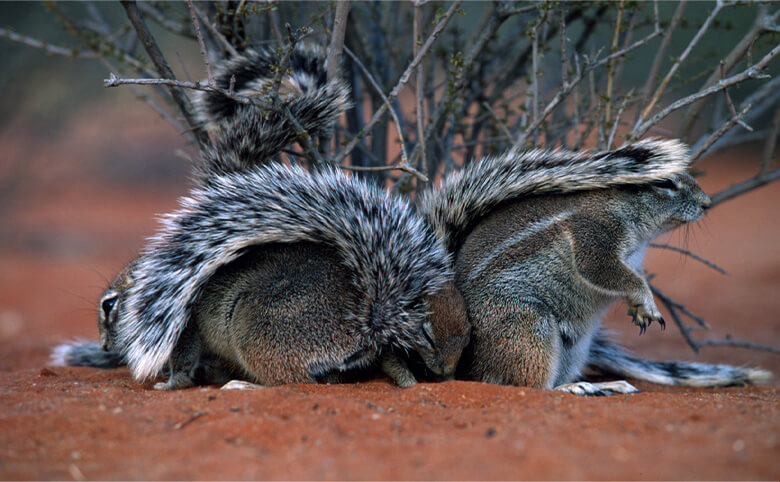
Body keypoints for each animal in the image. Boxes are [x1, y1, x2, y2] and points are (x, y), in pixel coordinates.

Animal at [54, 44, 472, 392]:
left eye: (109, 306)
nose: (105, 347)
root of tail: (369, 321)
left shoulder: (185, 331)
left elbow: (184, 366)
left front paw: (170, 384)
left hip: (256, 328)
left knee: (293, 381)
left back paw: (246, 385)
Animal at [418, 137, 772, 394]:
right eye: (666, 183)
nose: (706, 204)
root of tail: (466, 363)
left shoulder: (630, 257)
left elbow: (629, 276)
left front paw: (637, 306)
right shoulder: (593, 237)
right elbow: (607, 272)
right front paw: (646, 301)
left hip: (575, 346)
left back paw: (604, 385)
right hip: (526, 327)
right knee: (525, 385)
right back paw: (574, 388)